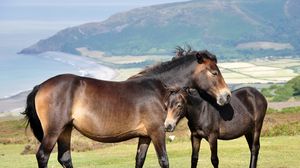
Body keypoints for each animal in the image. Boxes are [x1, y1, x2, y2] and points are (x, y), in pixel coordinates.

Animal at [23, 48, 231, 167]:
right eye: (214, 72)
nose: (226, 96)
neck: (159, 89)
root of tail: (41, 86)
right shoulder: (157, 132)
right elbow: (164, 160)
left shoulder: (145, 136)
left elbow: (139, 160)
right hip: (53, 130)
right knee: (43, 156)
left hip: (65, 129)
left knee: (65, 158)